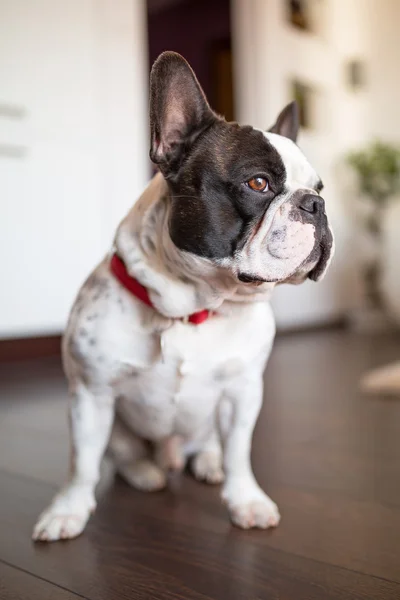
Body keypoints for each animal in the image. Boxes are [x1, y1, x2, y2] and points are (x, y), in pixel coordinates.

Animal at [32, 50, 332, 540]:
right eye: (258, 184)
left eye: (321, 189)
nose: (317, 205)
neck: (196, 307)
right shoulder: (90, 396)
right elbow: (82, 464)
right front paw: (67, 510)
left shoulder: (242, 394)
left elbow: (240, 454)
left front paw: (246, 501)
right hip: (118, 426)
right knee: (123, 455)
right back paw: (146, 474)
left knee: (209, 445)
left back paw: (207, 463)